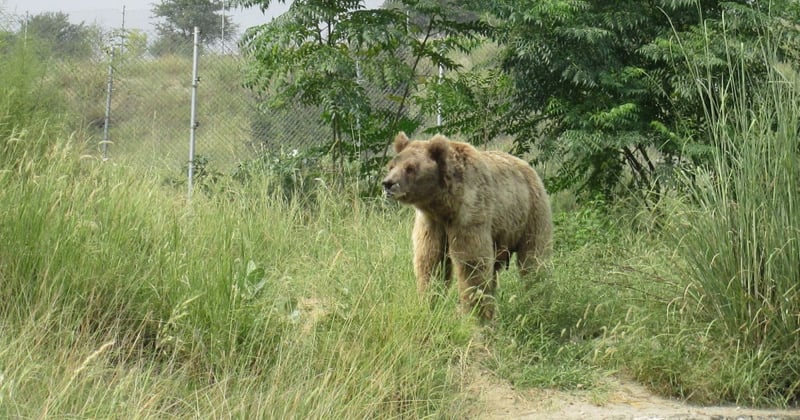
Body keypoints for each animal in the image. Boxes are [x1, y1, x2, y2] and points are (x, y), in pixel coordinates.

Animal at [382, 131, 553, 320]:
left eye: (410, 168)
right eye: (391, 166)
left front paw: (474, 313)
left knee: (533, 261)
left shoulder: (469, 215)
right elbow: (431, 263)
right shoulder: (431, 223)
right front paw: (429, 304)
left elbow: (472, 266)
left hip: (531, 213)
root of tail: (527, 166)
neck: (443, 204)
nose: (388, 183)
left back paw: (539, 302)